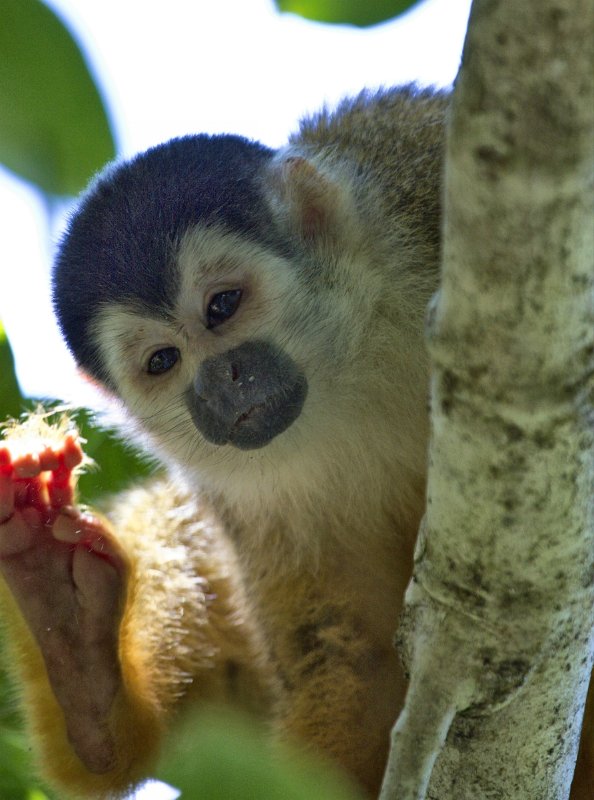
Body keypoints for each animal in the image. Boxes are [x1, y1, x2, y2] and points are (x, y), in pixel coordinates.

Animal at [0, 84, 588, 796]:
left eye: (222, 306)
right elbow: (346, 648)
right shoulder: (244, 493)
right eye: (164, 361)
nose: (222, 382)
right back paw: (81, 667)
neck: (349, 368)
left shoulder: (424, 187)